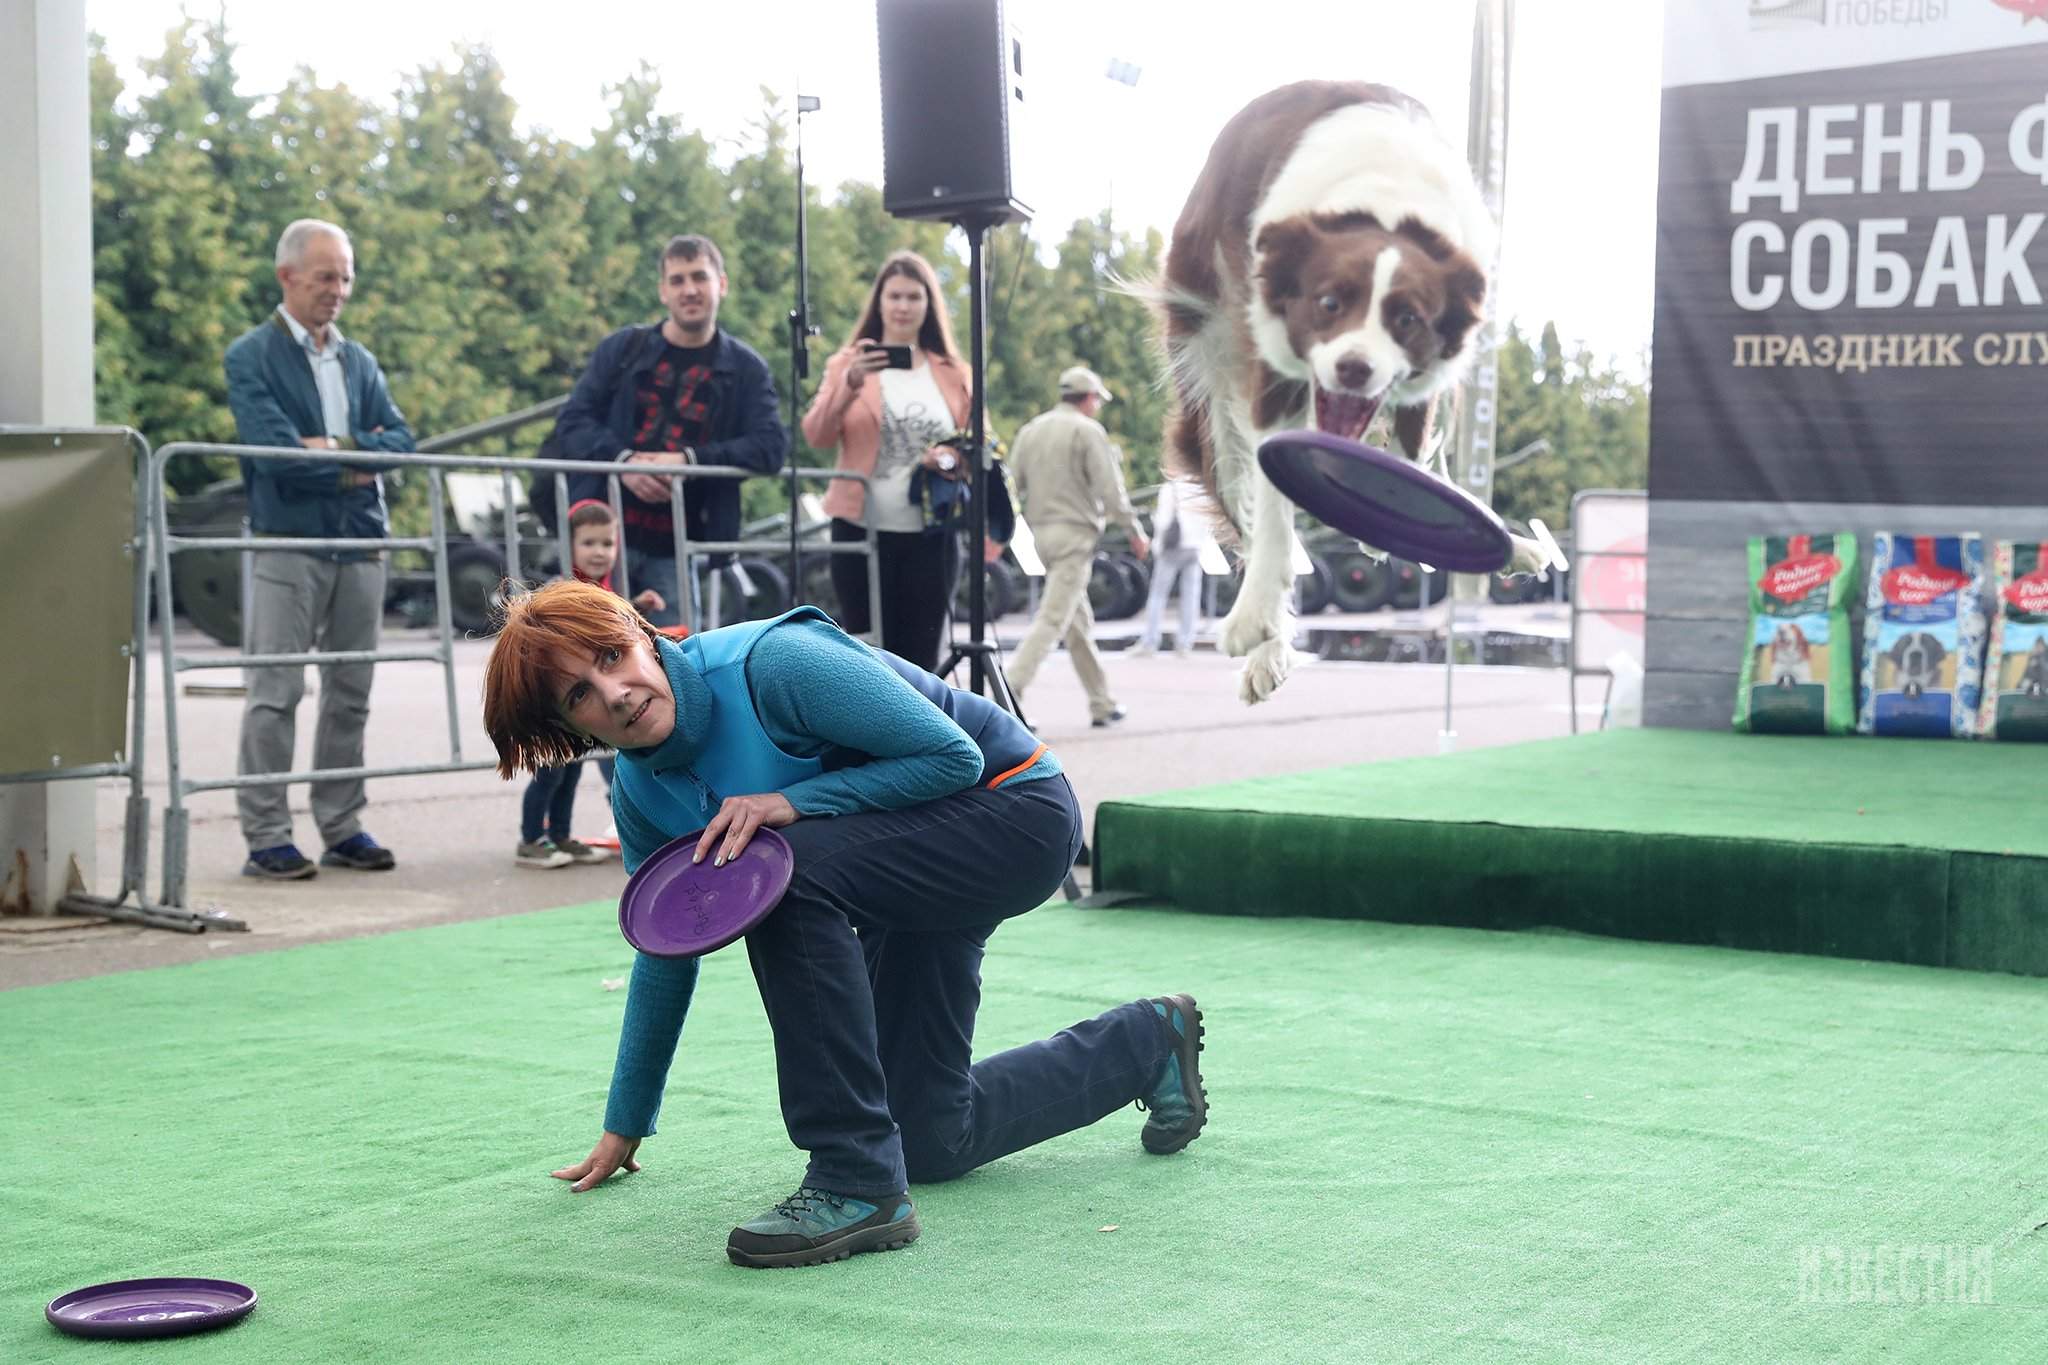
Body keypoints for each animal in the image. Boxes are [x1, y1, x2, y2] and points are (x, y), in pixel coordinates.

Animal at [1171, 81, 1540, 703]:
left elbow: (1417, 449)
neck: (1386, 211)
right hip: (1210, 356)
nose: (1353, 369)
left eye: (1407, 319)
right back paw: (1268, 651)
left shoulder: (1430, 379)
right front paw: (1255, 619)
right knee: (1239, 483)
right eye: (1328, 304)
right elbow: (1271, 508)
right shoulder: (1269, 364)